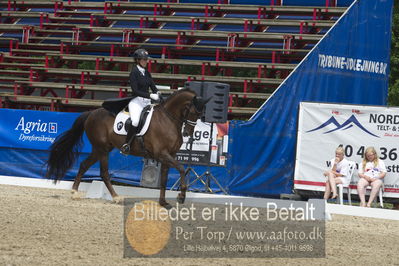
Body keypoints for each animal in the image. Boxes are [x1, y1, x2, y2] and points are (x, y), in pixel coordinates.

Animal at [46, 89, 208, 208]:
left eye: (200, 114)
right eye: (192, 111)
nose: (188, 133)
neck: (168, 119)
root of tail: (91, 112)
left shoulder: (169, 155)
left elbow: (164, 178)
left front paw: (163, 203)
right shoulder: (162, 154)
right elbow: (181, 168)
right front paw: (181, 196)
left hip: (100, 149)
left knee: (84, 165)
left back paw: (74, 192)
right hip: (102, 149)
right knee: (104, 173)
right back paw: (116, 198)